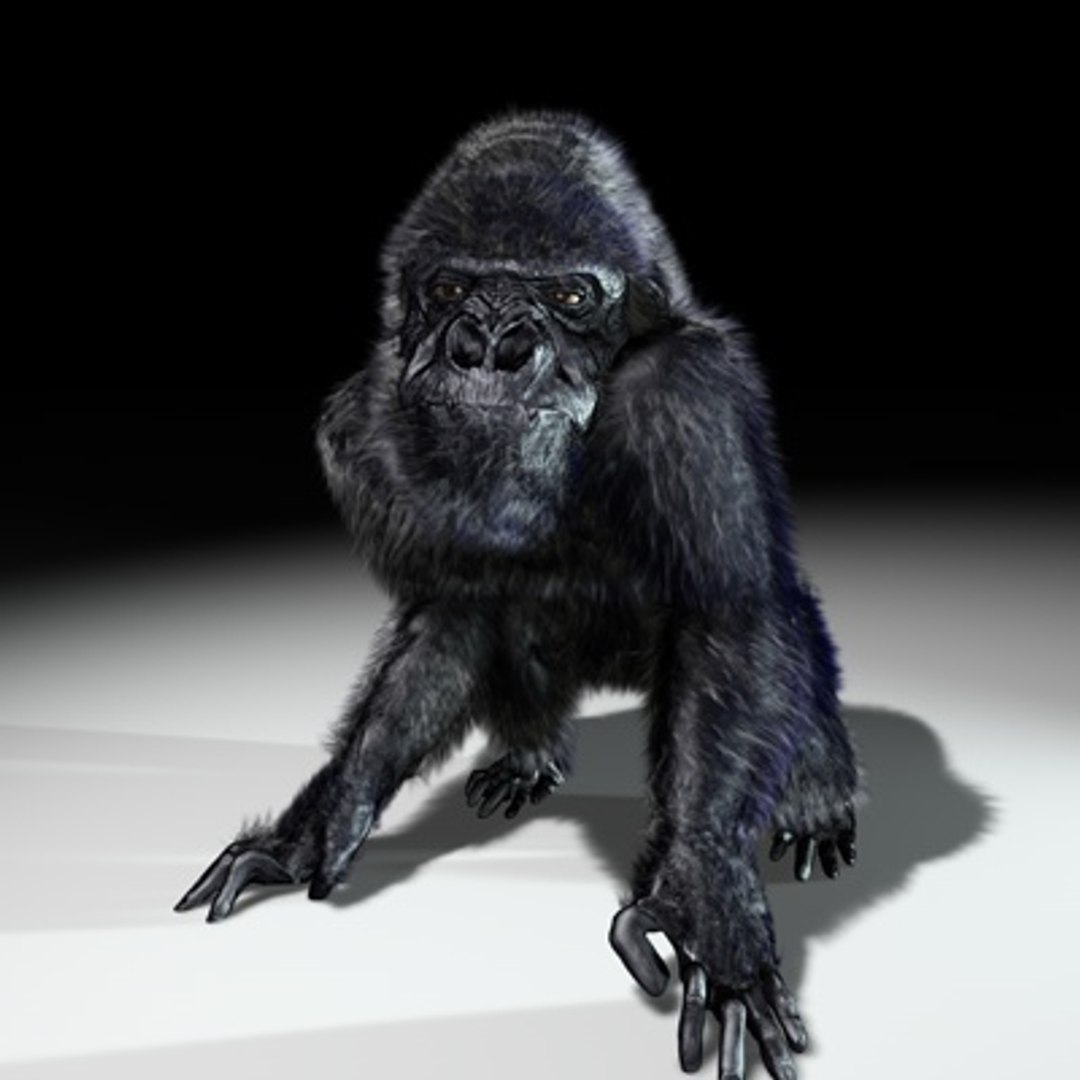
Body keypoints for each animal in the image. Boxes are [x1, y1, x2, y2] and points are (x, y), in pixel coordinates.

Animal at [175, 112, 860, 1080]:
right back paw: (527, 755)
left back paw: (816, 793)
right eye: (452, 288)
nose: (493, 340)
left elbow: (729, 610)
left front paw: (706, 903)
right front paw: (317, 823)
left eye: (570, 297)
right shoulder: (355, 424)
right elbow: (447, 621)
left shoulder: (688, 393)